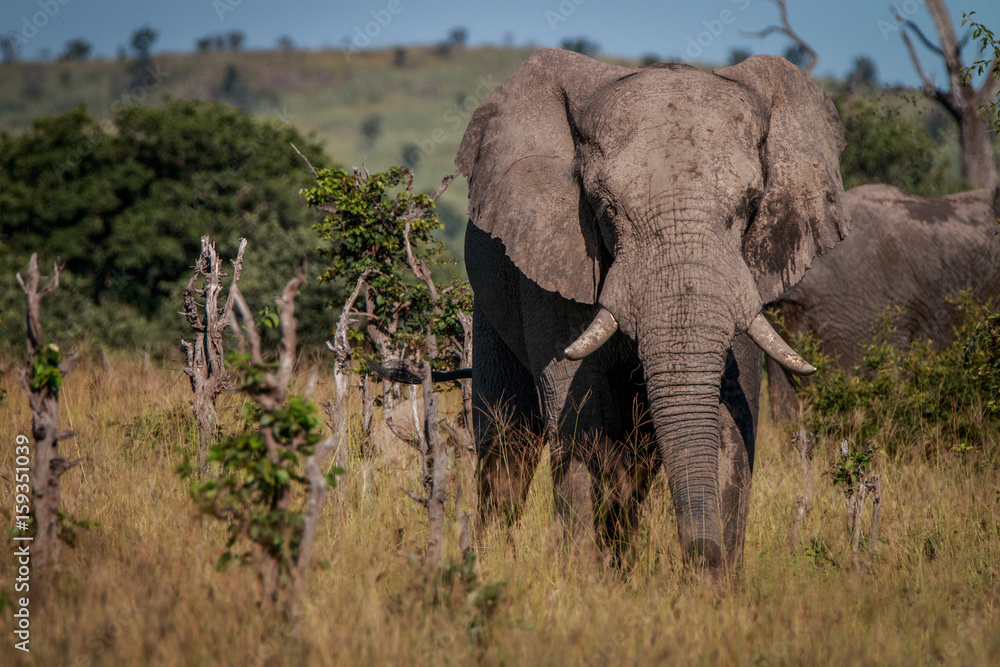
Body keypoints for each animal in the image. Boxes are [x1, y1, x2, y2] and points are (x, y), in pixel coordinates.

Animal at [457, 48, 849, 570]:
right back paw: (487, 560)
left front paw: (716, 580)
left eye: (750, 205)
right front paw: (586, 580)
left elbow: (731, 416)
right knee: (507, 442)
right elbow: (583, 415)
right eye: (606, 207)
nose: (701, 556)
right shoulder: (550, 263)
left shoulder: (745, 274)